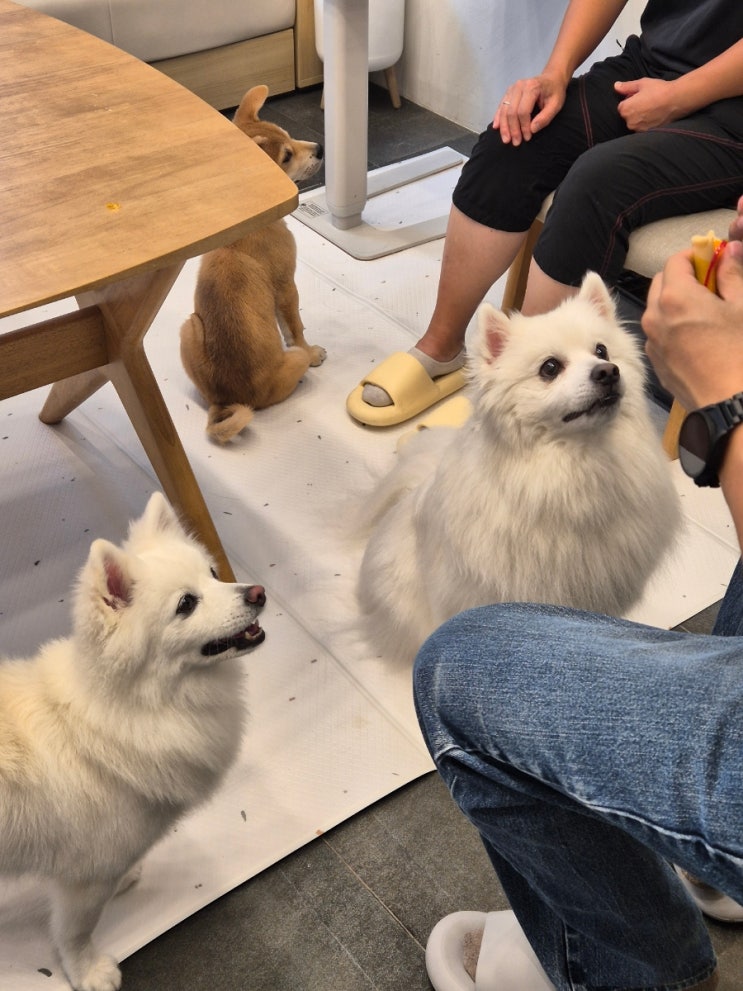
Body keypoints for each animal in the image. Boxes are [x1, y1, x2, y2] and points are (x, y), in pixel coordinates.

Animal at [0, 493, 266, 991]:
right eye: (186, 604)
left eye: (213, 573)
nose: (258, 593)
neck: (135, 706)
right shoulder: (83, 881)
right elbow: (75, 931)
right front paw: (87, 971)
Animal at [181, 84, 326, 443]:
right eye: (286, 156)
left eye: (289, 135)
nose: (320, 149)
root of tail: (231, 399)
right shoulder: (287, 287)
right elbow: (294, 329)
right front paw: (313, 350)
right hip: (289, 361)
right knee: (296, 356)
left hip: (188, 327)